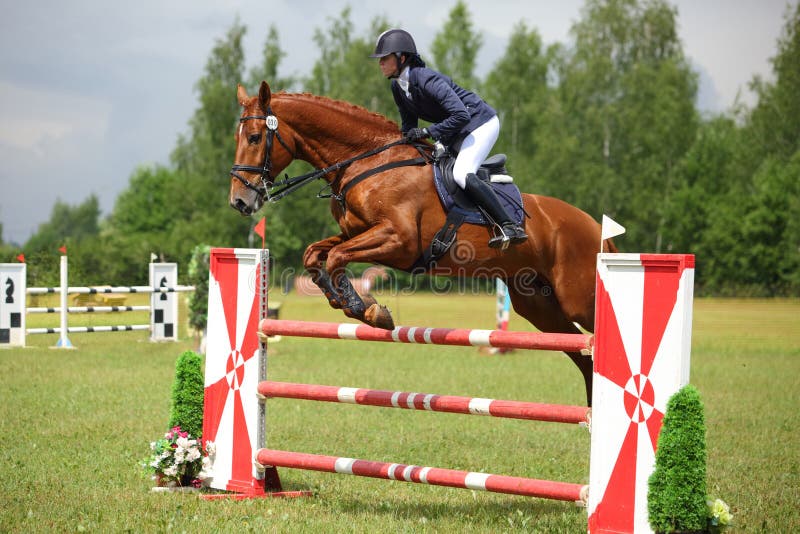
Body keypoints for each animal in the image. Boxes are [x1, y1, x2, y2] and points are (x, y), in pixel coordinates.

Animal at [228, 80, 616, 406]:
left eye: (254, 137)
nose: (239, 202)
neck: (369, 161)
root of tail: (594, 226)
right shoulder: (356, 232)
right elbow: (315, 254)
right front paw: (341, 300)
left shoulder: (399, 241)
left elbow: (337, 256)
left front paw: (368, 310)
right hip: (537, 305)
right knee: (581, 354)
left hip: (577, 298)